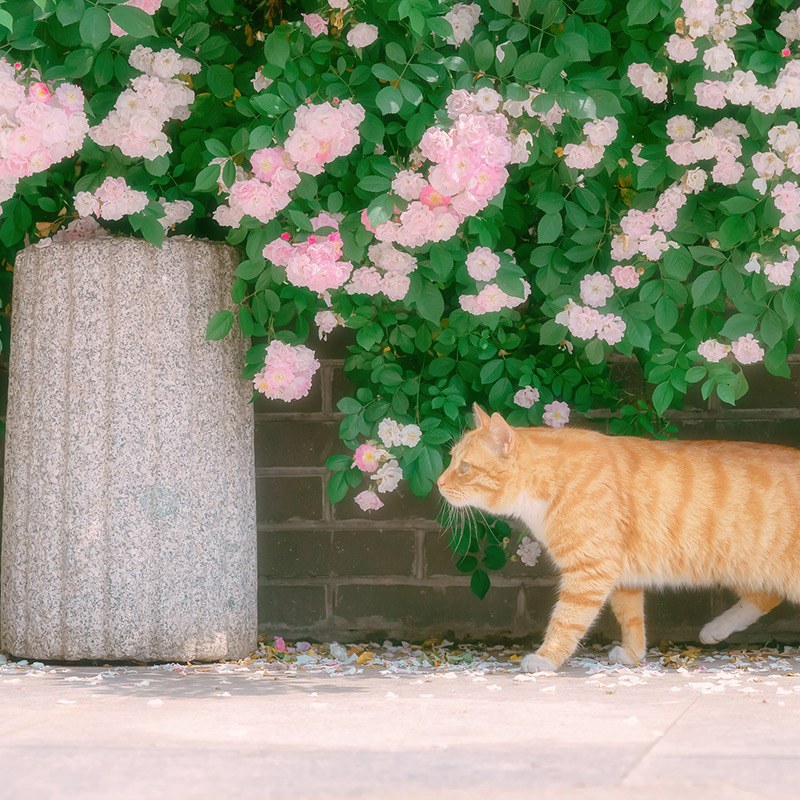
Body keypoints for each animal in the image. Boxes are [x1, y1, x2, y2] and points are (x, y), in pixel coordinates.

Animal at [440, 404, 792, 672]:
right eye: (451, 460)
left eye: (465, 467)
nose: (440, 483)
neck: (550, 482)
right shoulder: (622, 575)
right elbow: (631, 618)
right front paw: (634, 655)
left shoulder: (589, 571)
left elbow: (566, 620)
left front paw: (545, 659)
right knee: (767, 596)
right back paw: (715, 630)